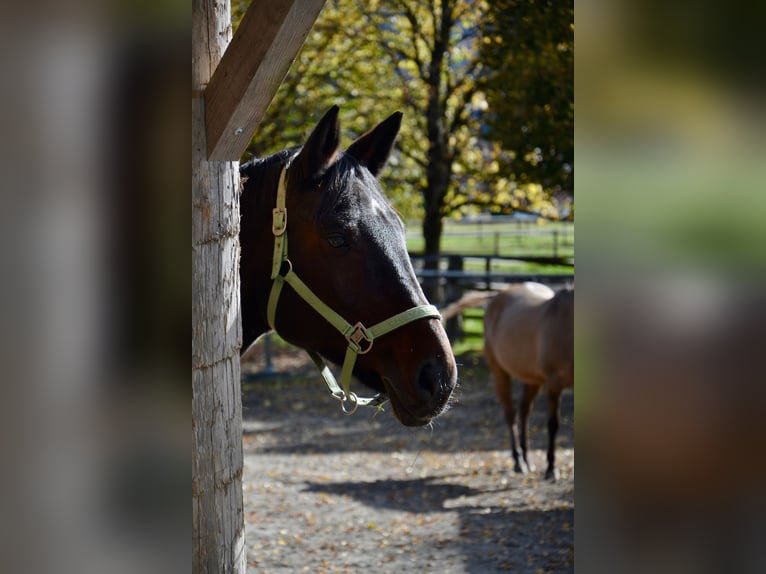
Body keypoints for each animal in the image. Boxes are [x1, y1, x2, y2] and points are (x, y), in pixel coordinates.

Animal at [484, 284, 572, 482]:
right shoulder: (554, 384)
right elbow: (553, 424)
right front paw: (551, 468)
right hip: (499, 372)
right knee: (511, 414)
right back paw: (519, 461)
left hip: (532, 380)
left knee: (524, 412)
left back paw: (527, 458)